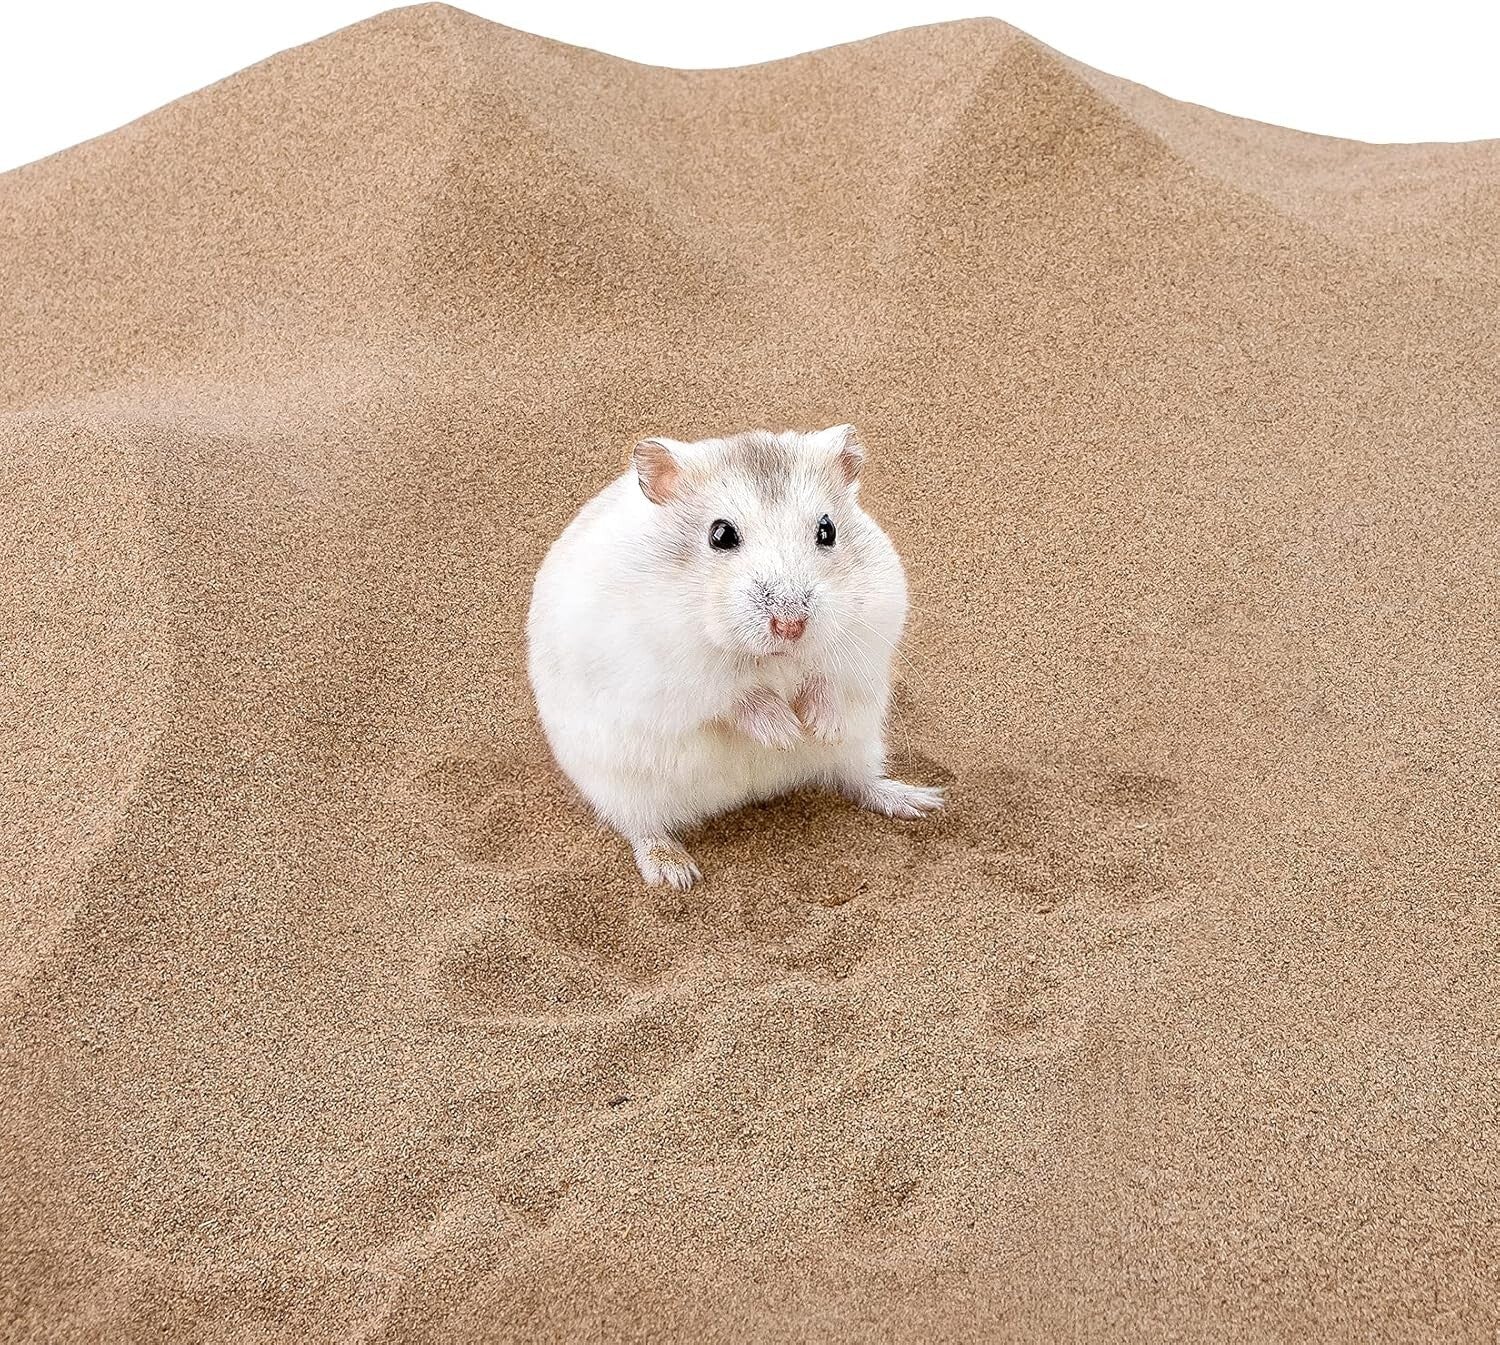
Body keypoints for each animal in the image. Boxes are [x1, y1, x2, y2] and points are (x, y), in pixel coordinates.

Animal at [526, 425, 942, 889]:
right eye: (720, 534)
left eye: (828, 530)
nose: (791, 625)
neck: (773, 656)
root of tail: (751, 792)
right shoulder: (674, 672)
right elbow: (736, 697)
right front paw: (786, 733)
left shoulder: (866, 634)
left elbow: (825, 678)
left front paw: (819, 729)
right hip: (621, 784)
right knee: (642, 827)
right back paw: (675, 873)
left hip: (862, 744)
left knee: (858, 781)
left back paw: (918, 801)